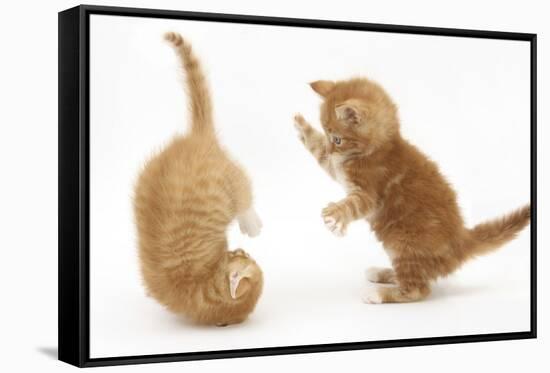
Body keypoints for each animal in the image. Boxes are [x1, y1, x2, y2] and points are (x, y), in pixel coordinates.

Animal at [133, 32, 264, 324]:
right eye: (242, 255)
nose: (242, 251)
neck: (197, 284)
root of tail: (198, 137)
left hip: (228, 174)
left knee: (244, 192)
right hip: (229, 176)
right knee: (244, 191)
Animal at [296, 77, 532, 302]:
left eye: (337, 139)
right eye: (325, 132)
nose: (330, 149)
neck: (378, 148)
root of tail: (461, 240)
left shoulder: (370, 192)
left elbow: (353, 204)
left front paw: (334, 217)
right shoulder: (336, 168)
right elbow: (319, 152)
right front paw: (301, 126)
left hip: (403, 244)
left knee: (417, 290)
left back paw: (378, 294)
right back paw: (383, 273)